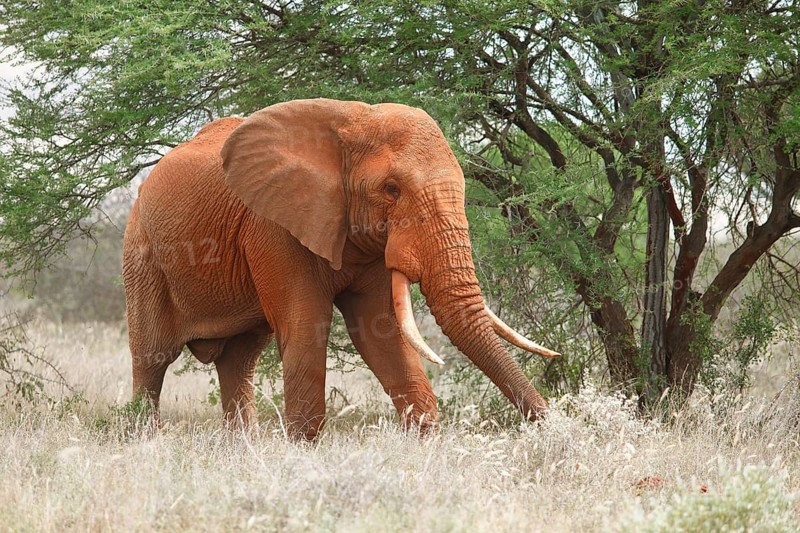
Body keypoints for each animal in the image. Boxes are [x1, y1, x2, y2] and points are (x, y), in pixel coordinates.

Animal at [122, 98, 559, 440]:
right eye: (391, 189)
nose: (552, 427)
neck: (354, 120)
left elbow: (381, 333)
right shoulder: (274, 228)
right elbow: (305, 330)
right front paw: (302, 453)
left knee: (239, 362)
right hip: (142, 254)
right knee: (152, 358)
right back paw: (146, 440)